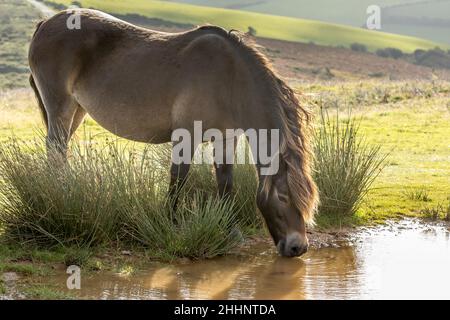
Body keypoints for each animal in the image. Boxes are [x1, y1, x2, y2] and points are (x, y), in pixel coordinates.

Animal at [28, 8, 318, 256]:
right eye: (283, 196)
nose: (298, 247)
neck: (229, 78)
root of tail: (46, 24)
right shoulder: (186, 135)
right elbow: (179, 179)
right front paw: (171, 223)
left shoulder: (226, 138)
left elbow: (225, 182)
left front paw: (230, 229)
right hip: (61, 107)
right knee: (56, 150)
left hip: (77, 111)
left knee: (60, 150)